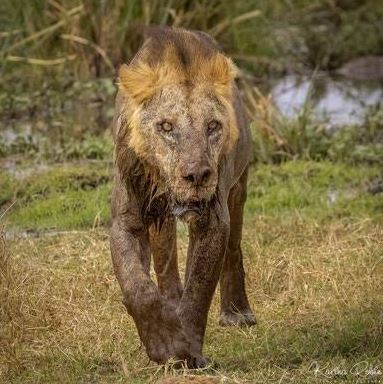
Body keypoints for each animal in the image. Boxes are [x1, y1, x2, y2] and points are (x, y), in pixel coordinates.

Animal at [109, 25, 256, 368]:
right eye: (166, 126)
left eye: (212, 126)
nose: (198, 176)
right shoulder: (127, 219)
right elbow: (137, 286)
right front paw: (162, 341)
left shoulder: (213, 218)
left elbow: (199, 288)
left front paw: (186, 351)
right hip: (160, 221)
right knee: (165, 262)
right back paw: (171, 303)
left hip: (238, 188)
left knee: (233, 248)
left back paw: (237, 313)